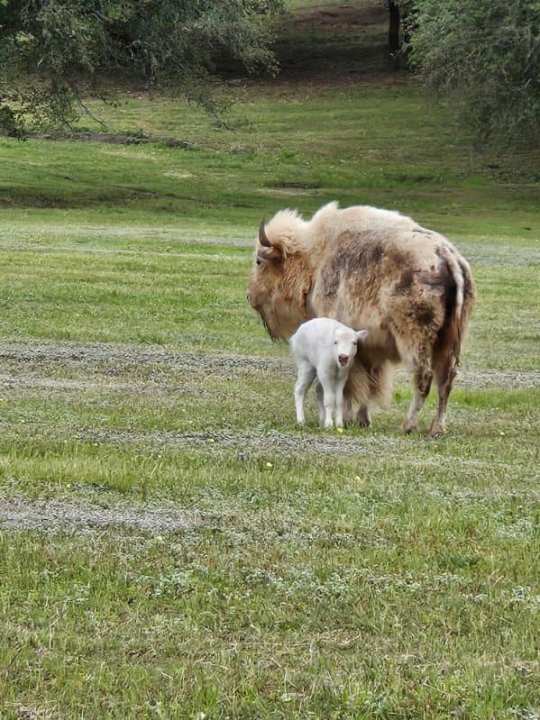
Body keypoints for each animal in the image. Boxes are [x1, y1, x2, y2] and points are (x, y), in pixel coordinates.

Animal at [247, 202, 474, 438]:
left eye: (259, 261)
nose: (249, 296)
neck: (315, 257)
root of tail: (447, 256)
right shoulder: (371, 349)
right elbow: (370, 383)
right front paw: (363, 419)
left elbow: (350, 386)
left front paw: (346, 418)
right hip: (449, 341)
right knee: (445, 381)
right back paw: (437, 428)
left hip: (416, 340)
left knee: (424, 377)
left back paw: (408, 425)